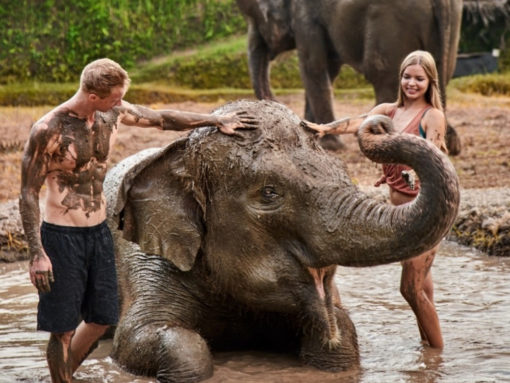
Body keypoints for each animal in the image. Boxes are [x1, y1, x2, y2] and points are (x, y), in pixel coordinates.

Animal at [103, 100, 458, 383]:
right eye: (269, 193)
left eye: (340, 170)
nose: (379, 124)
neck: (178, 155)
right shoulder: (145, 259)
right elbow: (137, 338)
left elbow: (342, 333)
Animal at [237, 0, 464, 156]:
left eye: (257, 18)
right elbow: (329, 68)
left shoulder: (306, 18)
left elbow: (313, 67)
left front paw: (329, 145)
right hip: (451, 28)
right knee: (441, 71)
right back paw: (452, 145)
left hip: (390, 24)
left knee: (381, 72)